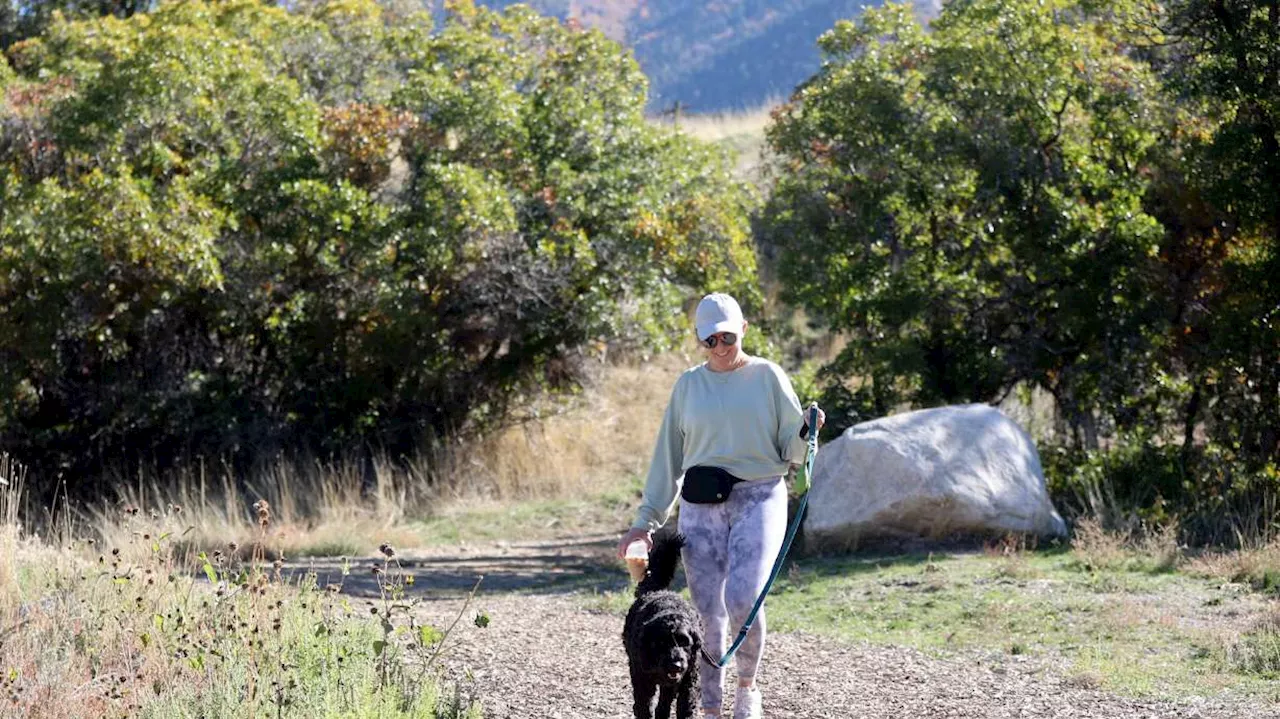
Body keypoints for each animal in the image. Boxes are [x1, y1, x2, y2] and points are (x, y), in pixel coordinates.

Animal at [619, 529, 701, 716]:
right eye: (661, 643)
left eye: (685, 642)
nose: (676, 665)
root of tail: (658, 590)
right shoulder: (642, 679)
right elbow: (644, 706)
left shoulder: (688, 679)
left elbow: (684, 706)